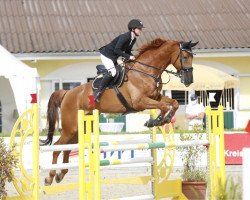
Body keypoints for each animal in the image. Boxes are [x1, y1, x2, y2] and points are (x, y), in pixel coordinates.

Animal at [41, 38, 197, 185]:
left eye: (192, 56)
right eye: (184, 57)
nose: (189, 80)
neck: (145, 72)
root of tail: (67, 93)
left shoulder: (155, 97)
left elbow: (173, 103)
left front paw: (160, 120)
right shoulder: (140, 102)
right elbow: (164, 106)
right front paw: (157, 121)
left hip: (79, 128)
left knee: (67, 147)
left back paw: (61, 174)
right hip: (70, 127)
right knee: (57, 147)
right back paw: (50, 177)